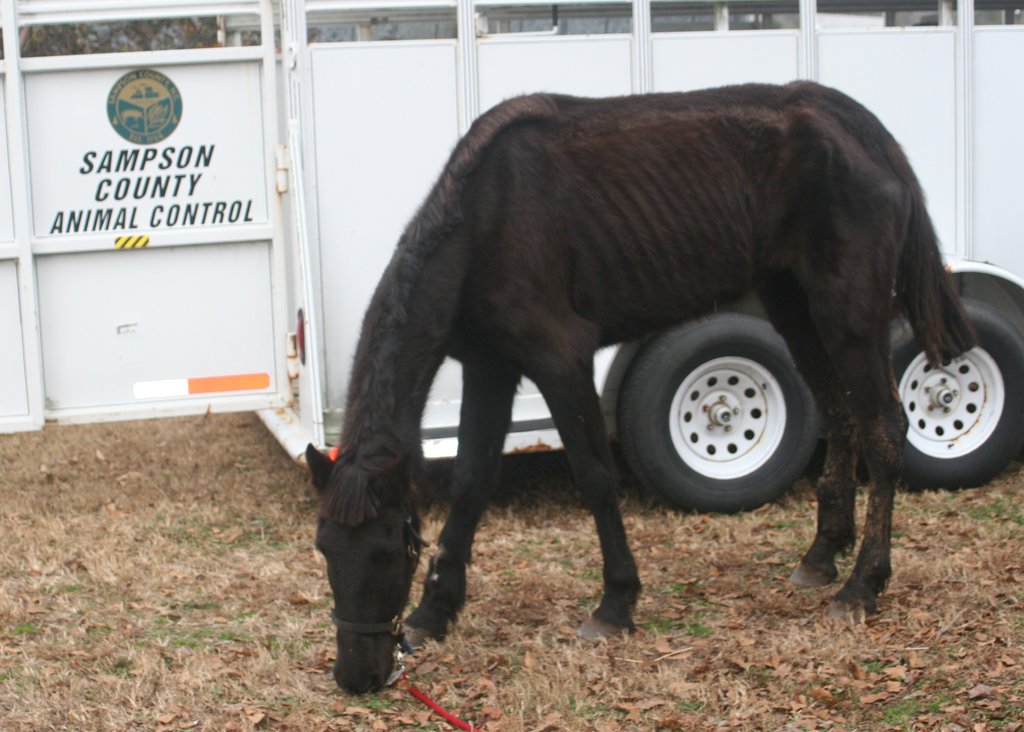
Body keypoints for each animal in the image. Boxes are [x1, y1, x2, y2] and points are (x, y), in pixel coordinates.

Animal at [305, 80, 976, 693]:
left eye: (387, 550)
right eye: (324, 549)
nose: (357, 676)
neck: (483, 222)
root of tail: (866, 132)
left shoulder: (560, 359)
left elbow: (597, 479)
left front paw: (616, 603)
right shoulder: (490, 367)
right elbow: (471, 484)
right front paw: (434, 612)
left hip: (850, 316)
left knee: (884, 429)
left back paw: (863, 585)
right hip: (795, 306)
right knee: (840, 416)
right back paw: (822, 555)